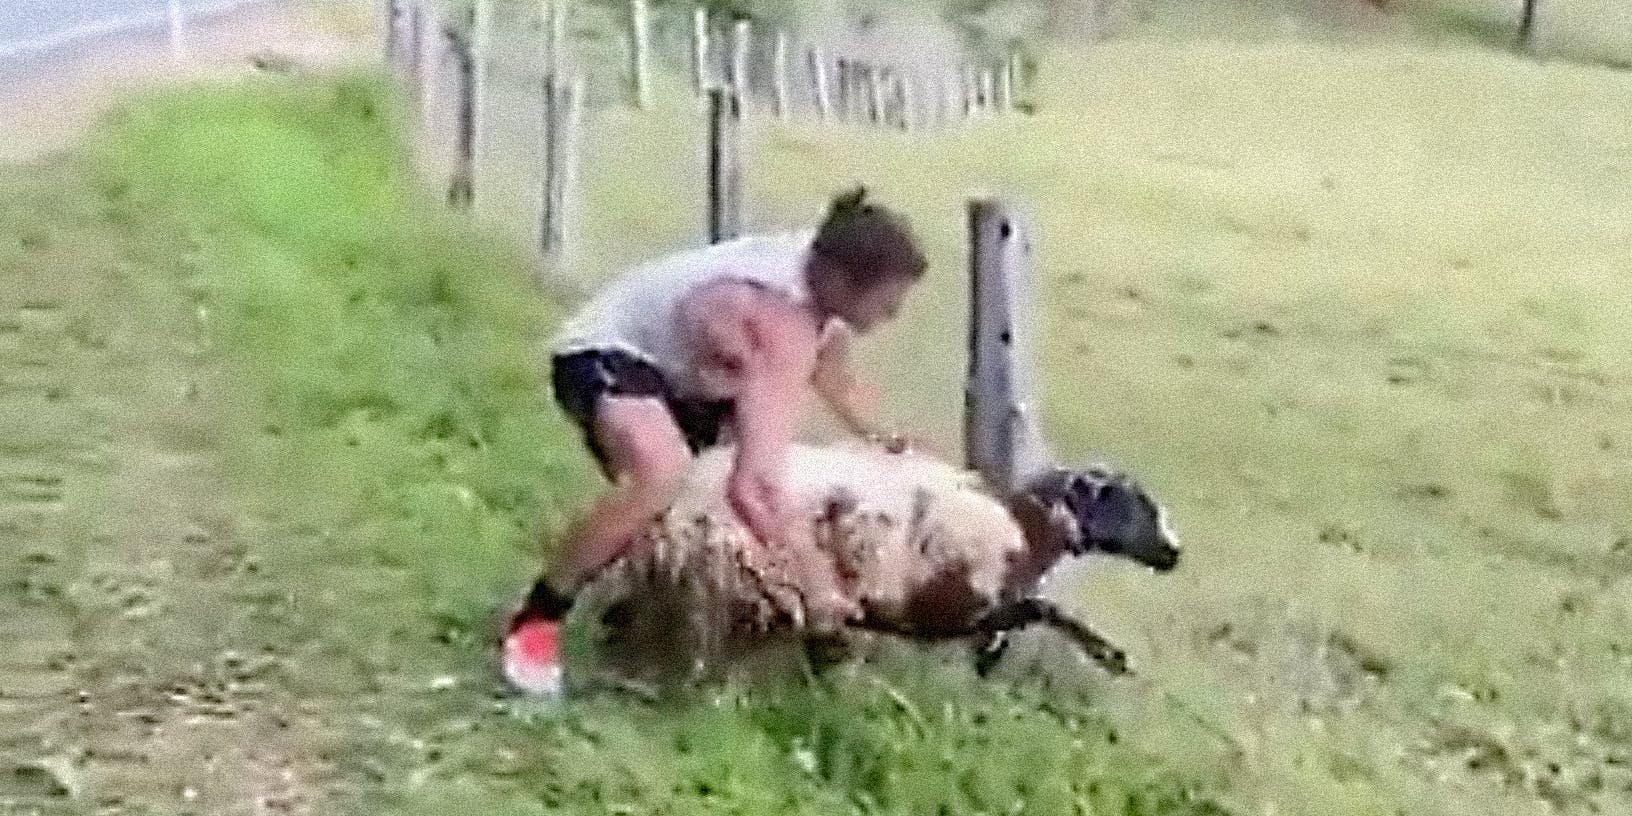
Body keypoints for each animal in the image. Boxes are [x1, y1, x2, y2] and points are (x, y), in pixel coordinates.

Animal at [567, 437, 1181, 691]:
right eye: (1134, 504)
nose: (1174, 553)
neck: (1024, 529)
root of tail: (678, 497)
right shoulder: (951, 607)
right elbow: (1043, 611)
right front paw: (1111, 657)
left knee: (627, 621)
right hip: (743, 579)